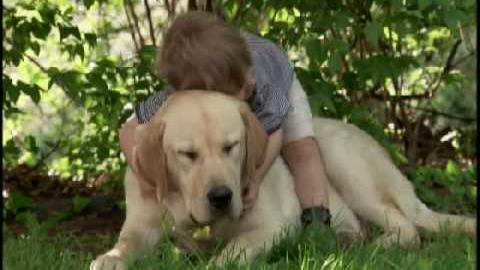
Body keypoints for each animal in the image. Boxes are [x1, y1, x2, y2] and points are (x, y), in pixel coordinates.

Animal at [90, 91, 476, 270]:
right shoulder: (141, 224)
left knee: (406, 226)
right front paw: (109, 257)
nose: (221, 196)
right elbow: (125, 243)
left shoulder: (272, 226)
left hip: (342, 161)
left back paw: (376, 246)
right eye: (188, 154)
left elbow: (233, 250)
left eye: (231, 147)